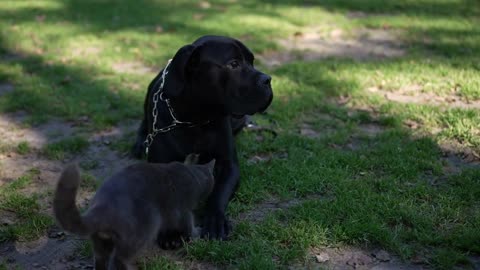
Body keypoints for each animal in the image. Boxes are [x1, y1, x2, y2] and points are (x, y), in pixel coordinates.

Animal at [53, 154, 216, 270]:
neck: (193, 174)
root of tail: (102, 207)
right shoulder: (183, 211)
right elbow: (188, 227)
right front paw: (198, 233)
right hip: (142, 230)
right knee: (118, 260)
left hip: (100, 240)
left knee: (101, 259)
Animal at [132, 35, 274, 238]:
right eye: (233, 64)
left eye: (252, 61)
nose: (267, 79)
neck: (195, 120)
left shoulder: (228, 164)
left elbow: (218, 193)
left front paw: (215, 220)